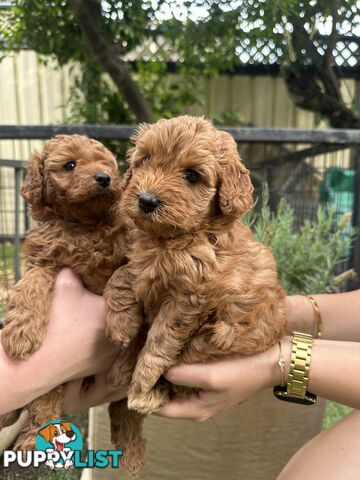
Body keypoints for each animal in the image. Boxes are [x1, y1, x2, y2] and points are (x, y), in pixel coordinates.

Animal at [0, 134, 129, 450]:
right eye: (70, 165)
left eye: (106, 164)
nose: (104, 178)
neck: (82, 225)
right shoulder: (42, 259)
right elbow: (30, 285)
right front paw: (20, 332)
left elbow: (120, 277)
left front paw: (121, 323)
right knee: (43, 402)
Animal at [105, 114, 288, 474]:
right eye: (144, 160)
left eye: (192, 175)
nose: (146, 200)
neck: (172, 239)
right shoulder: (140, 260)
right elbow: (123, 275)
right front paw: (121, 323)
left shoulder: (189, 298)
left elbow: (159, 340)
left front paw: (142, 385)